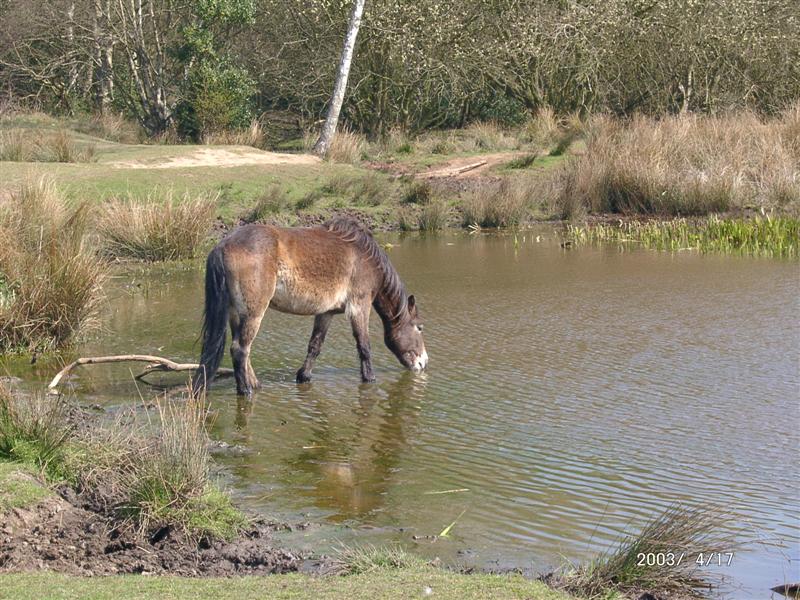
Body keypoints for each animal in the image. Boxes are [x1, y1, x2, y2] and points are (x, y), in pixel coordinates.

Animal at [191, 216, 428, 394]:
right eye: (419, 327)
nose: (423, 362)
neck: (365, 258)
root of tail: (223, 245)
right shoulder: (359, 307)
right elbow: (364, 346)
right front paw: (369, 379)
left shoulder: (326, 313)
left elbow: (315, 346)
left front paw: (303, 376)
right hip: (253, 313)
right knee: (240, 349)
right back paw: (245, 391)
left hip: (235, 313)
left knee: (242, 349)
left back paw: (255, 385)